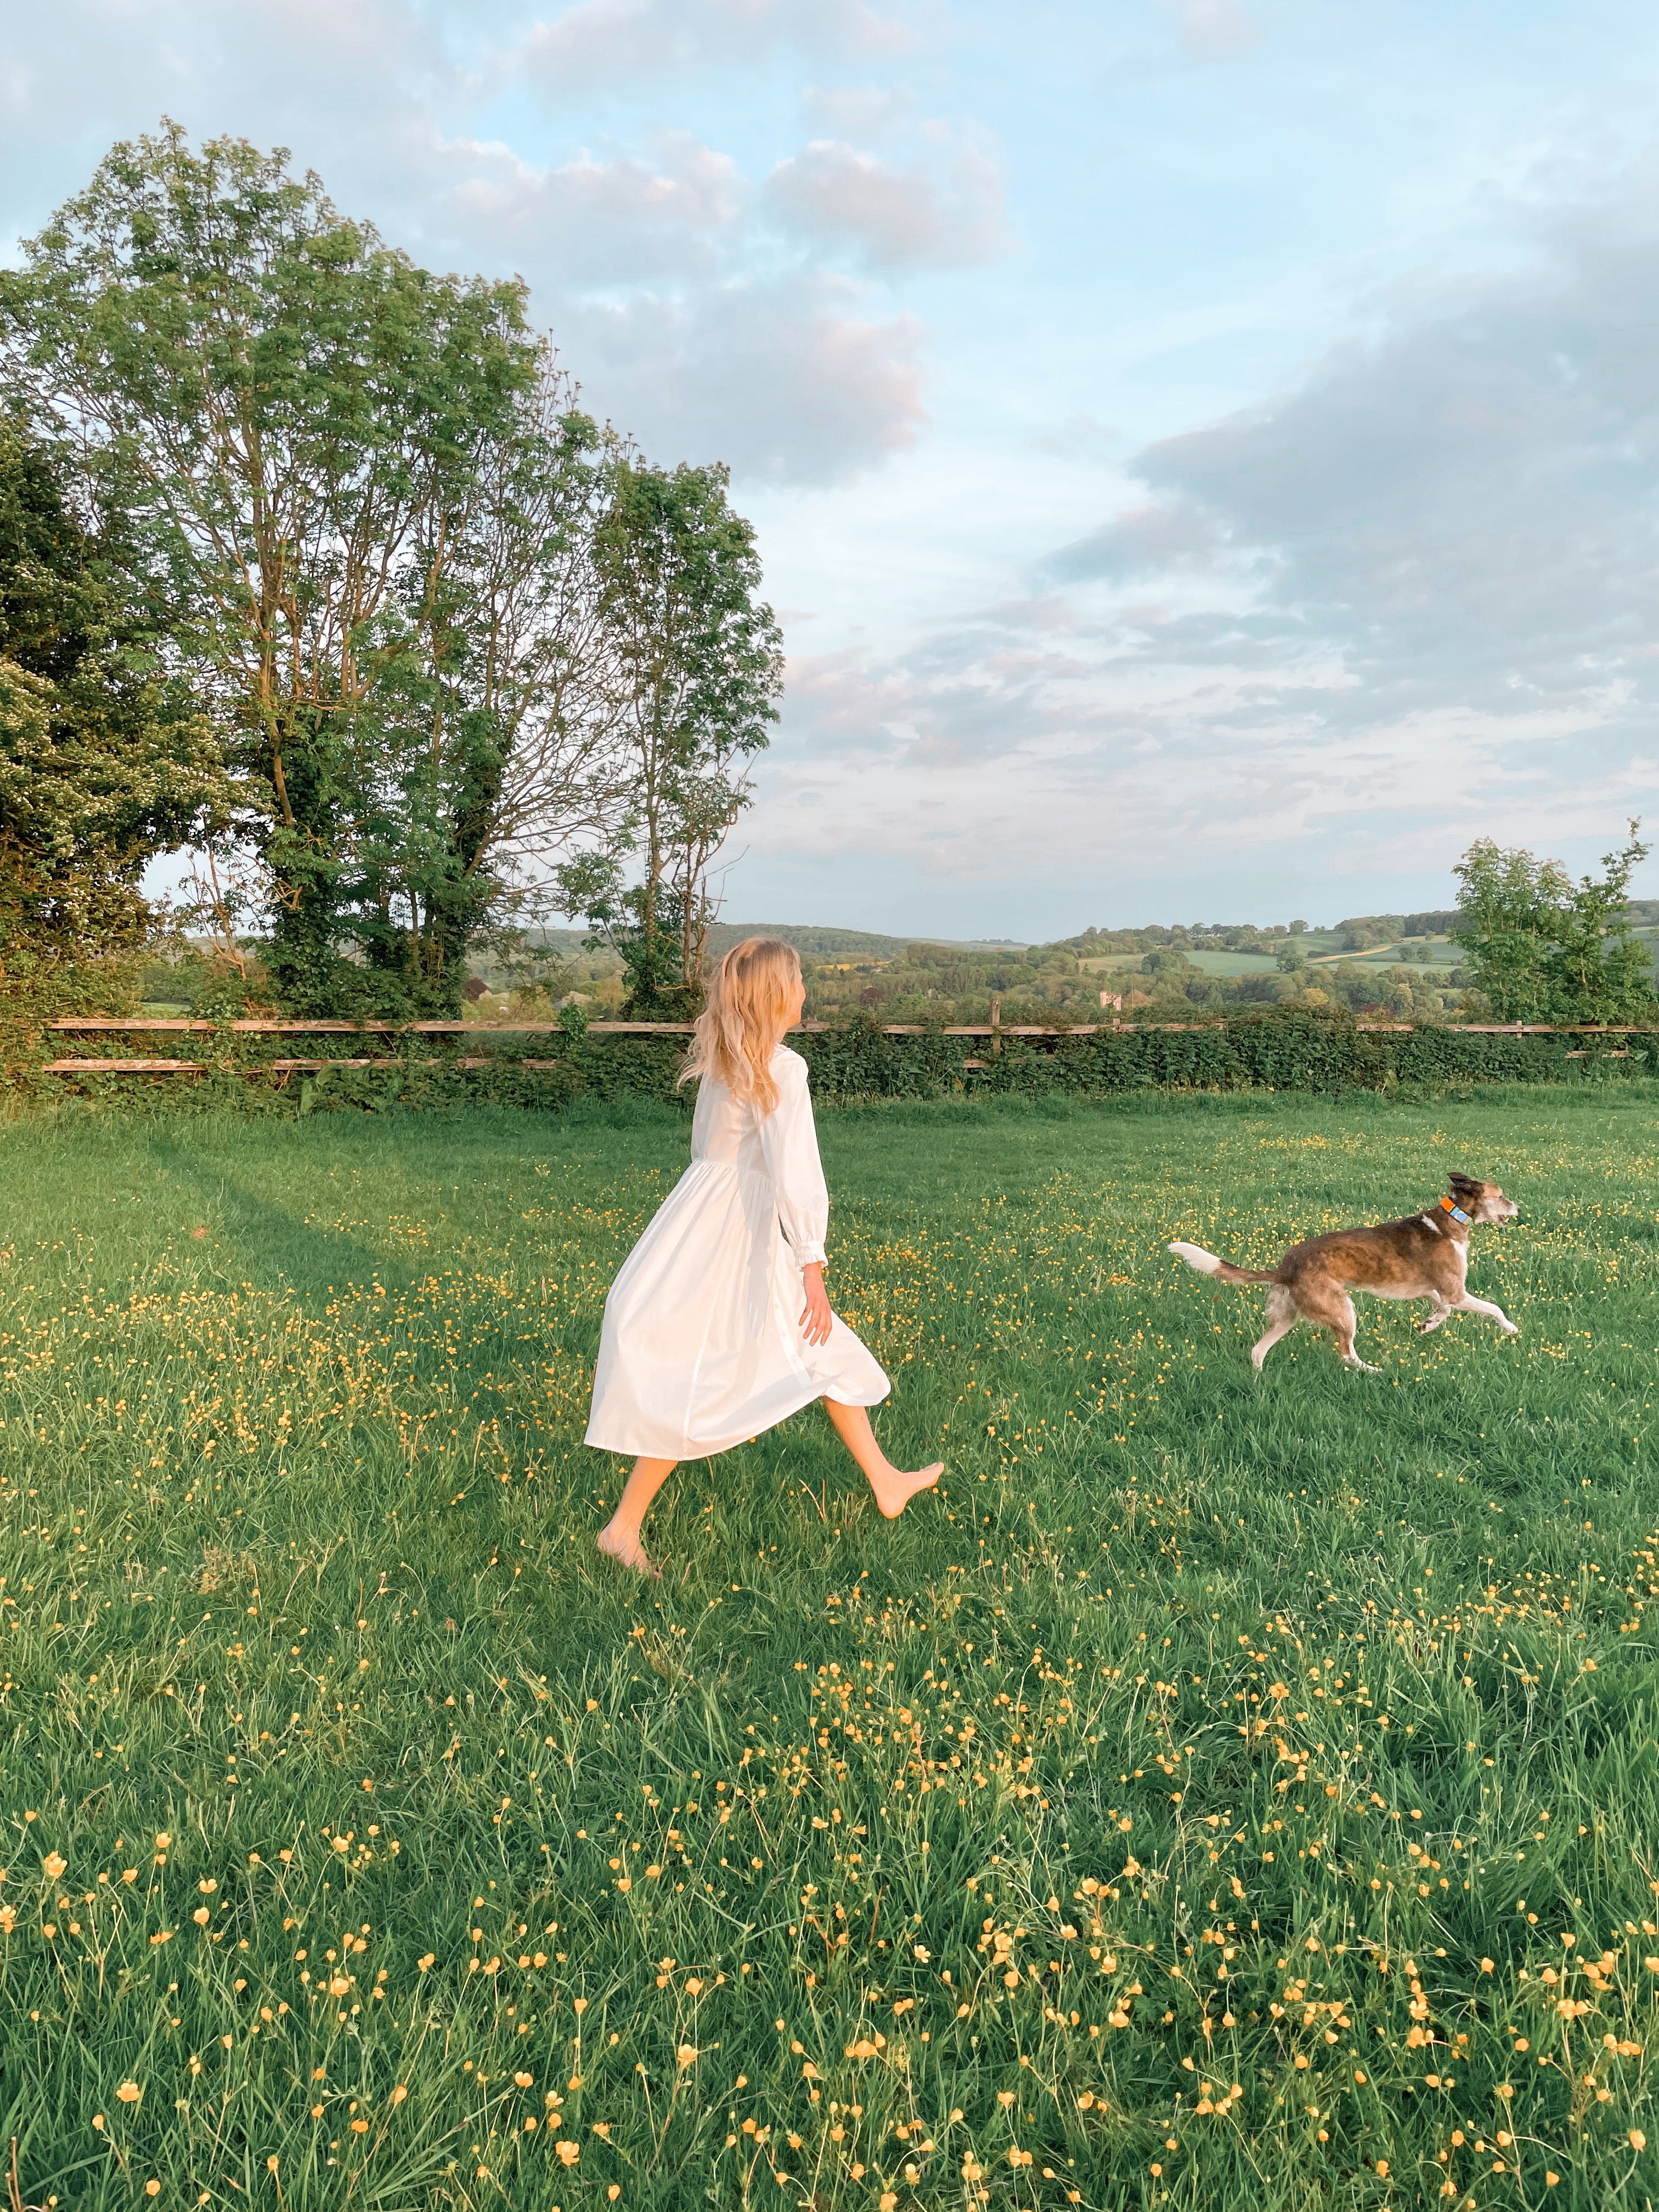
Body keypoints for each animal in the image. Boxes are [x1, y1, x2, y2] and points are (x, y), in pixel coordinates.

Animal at [1167, 1167, 1522, 1371]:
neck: (1451, 1220)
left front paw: (1428, 1325)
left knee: (1258, 1351)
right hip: (1341, 1310)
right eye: (1502, 1196)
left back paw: (1259, 1383)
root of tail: (1285, 1268)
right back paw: (1374, 1372)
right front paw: (1511, 1329)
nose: (1519, 1208)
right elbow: (1494, 1308)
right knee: (1346, 1354)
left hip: (1289, 1316)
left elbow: (1442, 1308)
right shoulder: (1455, 1291)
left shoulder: (1434, 1290)